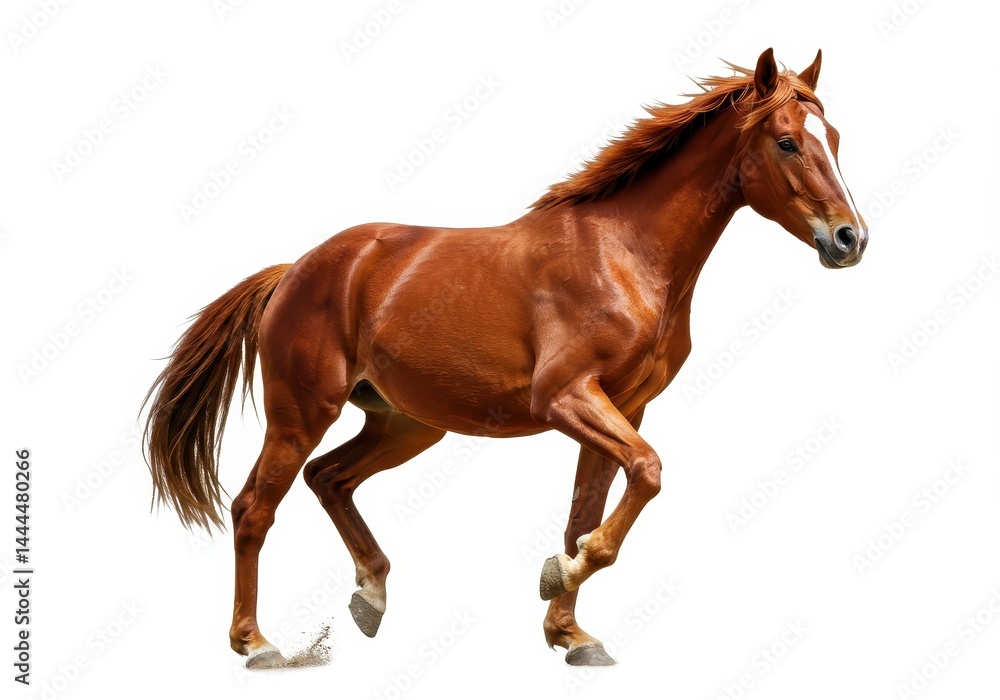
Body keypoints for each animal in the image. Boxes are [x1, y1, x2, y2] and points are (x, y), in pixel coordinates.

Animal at [142, 48, 867, 668]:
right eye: (786, 141)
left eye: (833, 138)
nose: (849, 239)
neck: (624, 254)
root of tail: (295, 270)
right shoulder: (567, 396)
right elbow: (649, 474)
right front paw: (562, 576)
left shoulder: (623, 407)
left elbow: (588, 511)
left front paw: (570, 631)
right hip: (301, 414)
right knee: (253, 508)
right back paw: (256, 643)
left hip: (405, 424)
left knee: (330, 478)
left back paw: (370, 596)